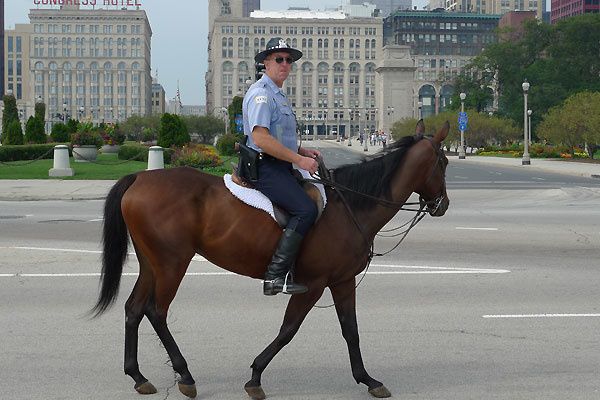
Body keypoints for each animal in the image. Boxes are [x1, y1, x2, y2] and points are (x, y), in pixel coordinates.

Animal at [92, 120, 450, 398]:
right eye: (444, 163)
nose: (443, 204)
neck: (350, 207)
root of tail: (139, 177)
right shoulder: (314, 284)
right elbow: (289, 329)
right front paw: (255, 377)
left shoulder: (342, 280)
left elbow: (351, 329)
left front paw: (368, 379)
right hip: (172, 264)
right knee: (156, 311)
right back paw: (185, 375)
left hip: (152, 264)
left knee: (134, 309)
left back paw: (138, 376)